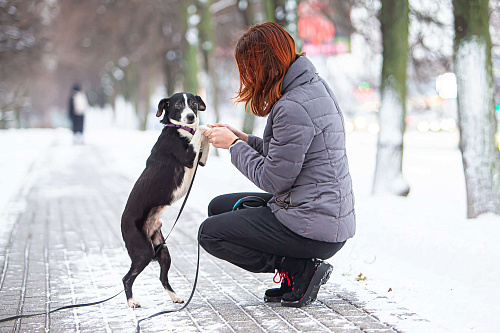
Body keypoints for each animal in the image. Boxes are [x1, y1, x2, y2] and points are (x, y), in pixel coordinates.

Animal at [122, 92, 210, 308]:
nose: (191, 116)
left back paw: (175, 297)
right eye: (178, 105)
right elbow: (200, 131)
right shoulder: (188, 157)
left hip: (162, 250)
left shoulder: (200, 160)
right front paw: (205, 127)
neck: (180, 129)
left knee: (162, 278)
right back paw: (132, 301)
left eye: (193, 103)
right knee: (126, 278)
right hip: (143, 252)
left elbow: (204, 142)